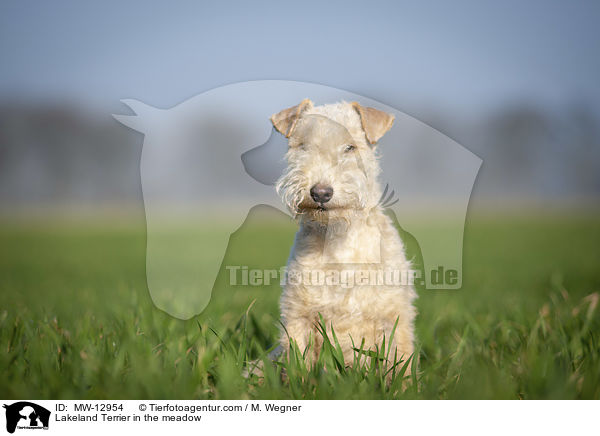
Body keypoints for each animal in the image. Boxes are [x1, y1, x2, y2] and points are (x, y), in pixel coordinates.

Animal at [272, 99, 418, 374]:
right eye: (303, 146)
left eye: (350, 147)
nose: (320, 193)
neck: (339, 236)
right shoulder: (298, 315)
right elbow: (298, 367)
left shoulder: (393, 318)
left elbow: (400, 365)